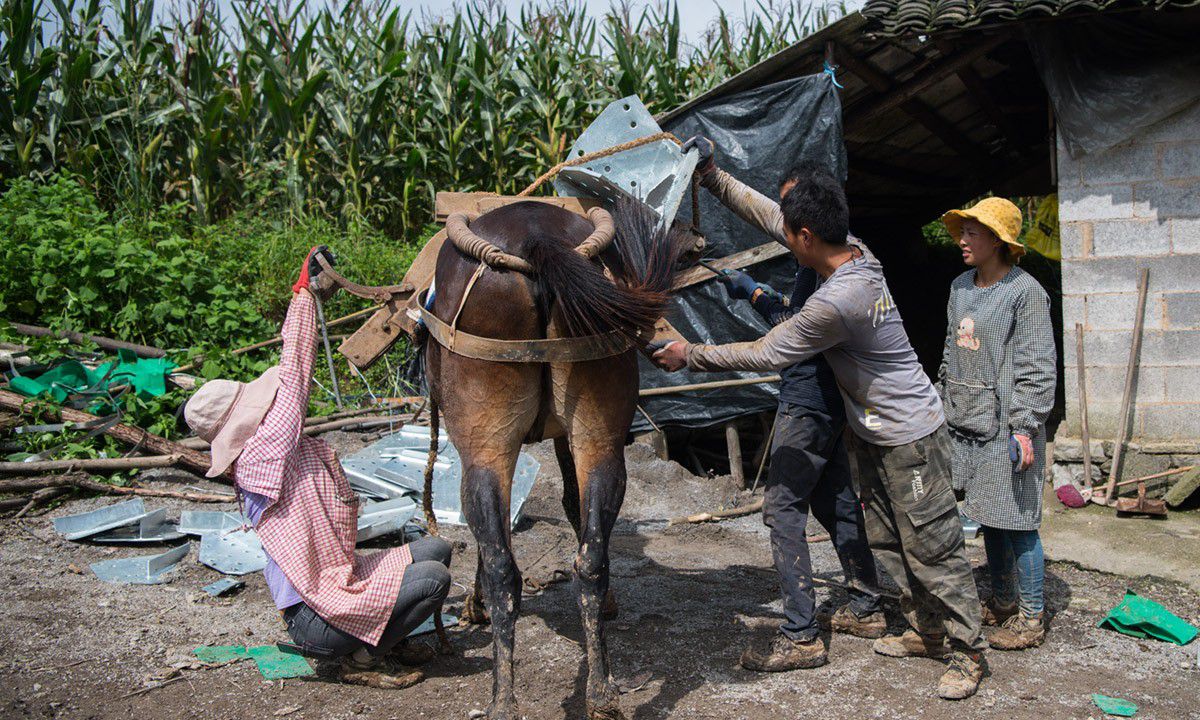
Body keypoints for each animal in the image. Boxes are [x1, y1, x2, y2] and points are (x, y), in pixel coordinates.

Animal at [424, 199, 691, 720]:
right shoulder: (571, 437)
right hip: (598, 430)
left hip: (485, 445)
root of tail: (536, 239)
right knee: (590, 558)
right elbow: (572, 505)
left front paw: (475, 606)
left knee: (503, 564)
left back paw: (502, 699)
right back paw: (601, 693)